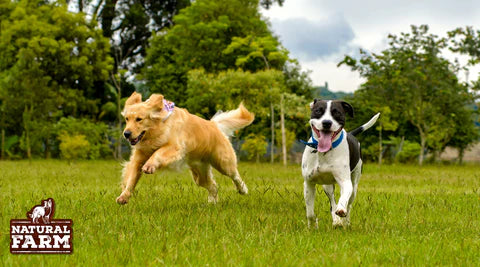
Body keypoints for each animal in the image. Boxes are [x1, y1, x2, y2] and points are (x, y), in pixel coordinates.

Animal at [304, 100, 378, 228]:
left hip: (354, 185)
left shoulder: (345, 182)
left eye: (337, 112)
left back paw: (345, 222)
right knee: (332, 203)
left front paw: (341, 210)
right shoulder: (308, 183)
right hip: (327, 186)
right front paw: (312, 226)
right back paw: (336, 221)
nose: (327, 123)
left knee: (349, 204)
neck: (324, 152)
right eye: (318, 111)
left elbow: (343, 199)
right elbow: (310, 213)